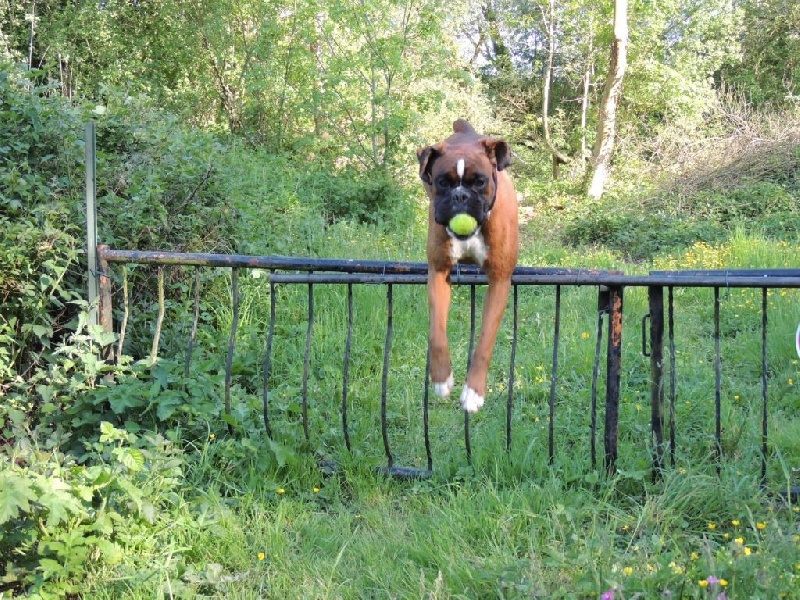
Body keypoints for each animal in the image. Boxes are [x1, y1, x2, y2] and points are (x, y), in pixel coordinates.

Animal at [416, 121, 520, 412]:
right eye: (442, 181)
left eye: (480, 181)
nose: (460, 196)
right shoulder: (438, 273)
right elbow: (437, 333)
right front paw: (441, 378)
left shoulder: (499, 281)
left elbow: (484, 342)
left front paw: (474, 391)